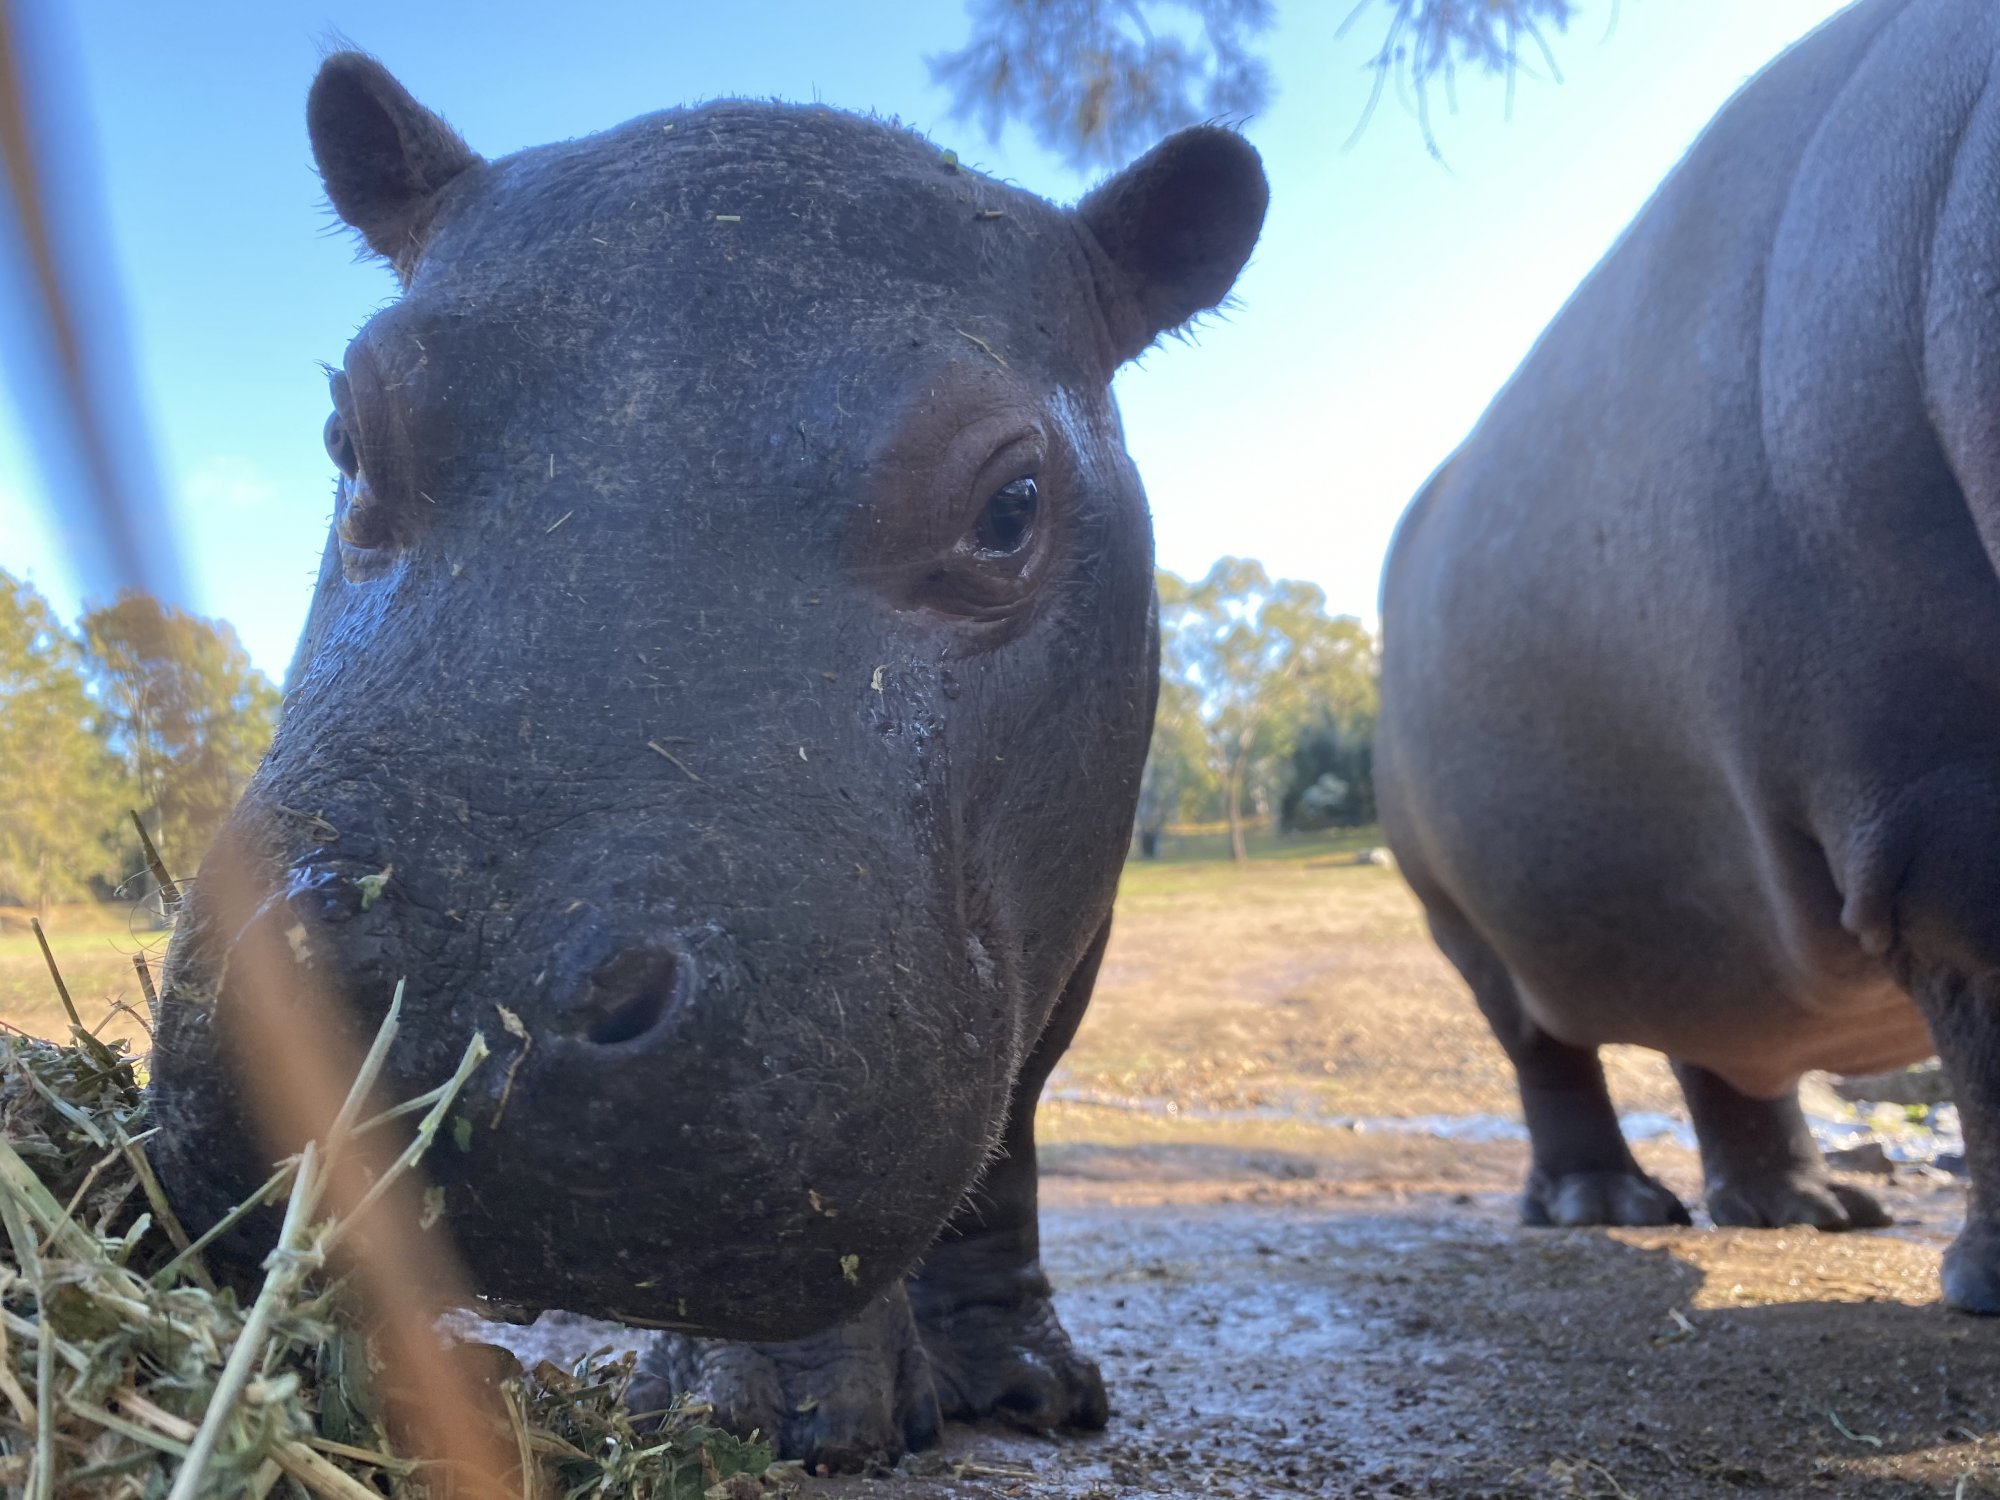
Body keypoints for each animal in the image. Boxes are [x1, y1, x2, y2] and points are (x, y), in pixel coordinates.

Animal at [149, 53, 1266, 1468]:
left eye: (1013, 504)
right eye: (348, 431)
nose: (443, 1015)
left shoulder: (1074, 932)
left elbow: (1007, 1141)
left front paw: (1025, 1386)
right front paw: (777, 1409)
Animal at [1378, 0, 2000, 1312]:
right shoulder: (1937, 797)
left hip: (1690, 893)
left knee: (1720, 1046)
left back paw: (1810, 1214)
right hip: (1466, 925)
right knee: (1549, 1056)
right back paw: (1601, 1207)